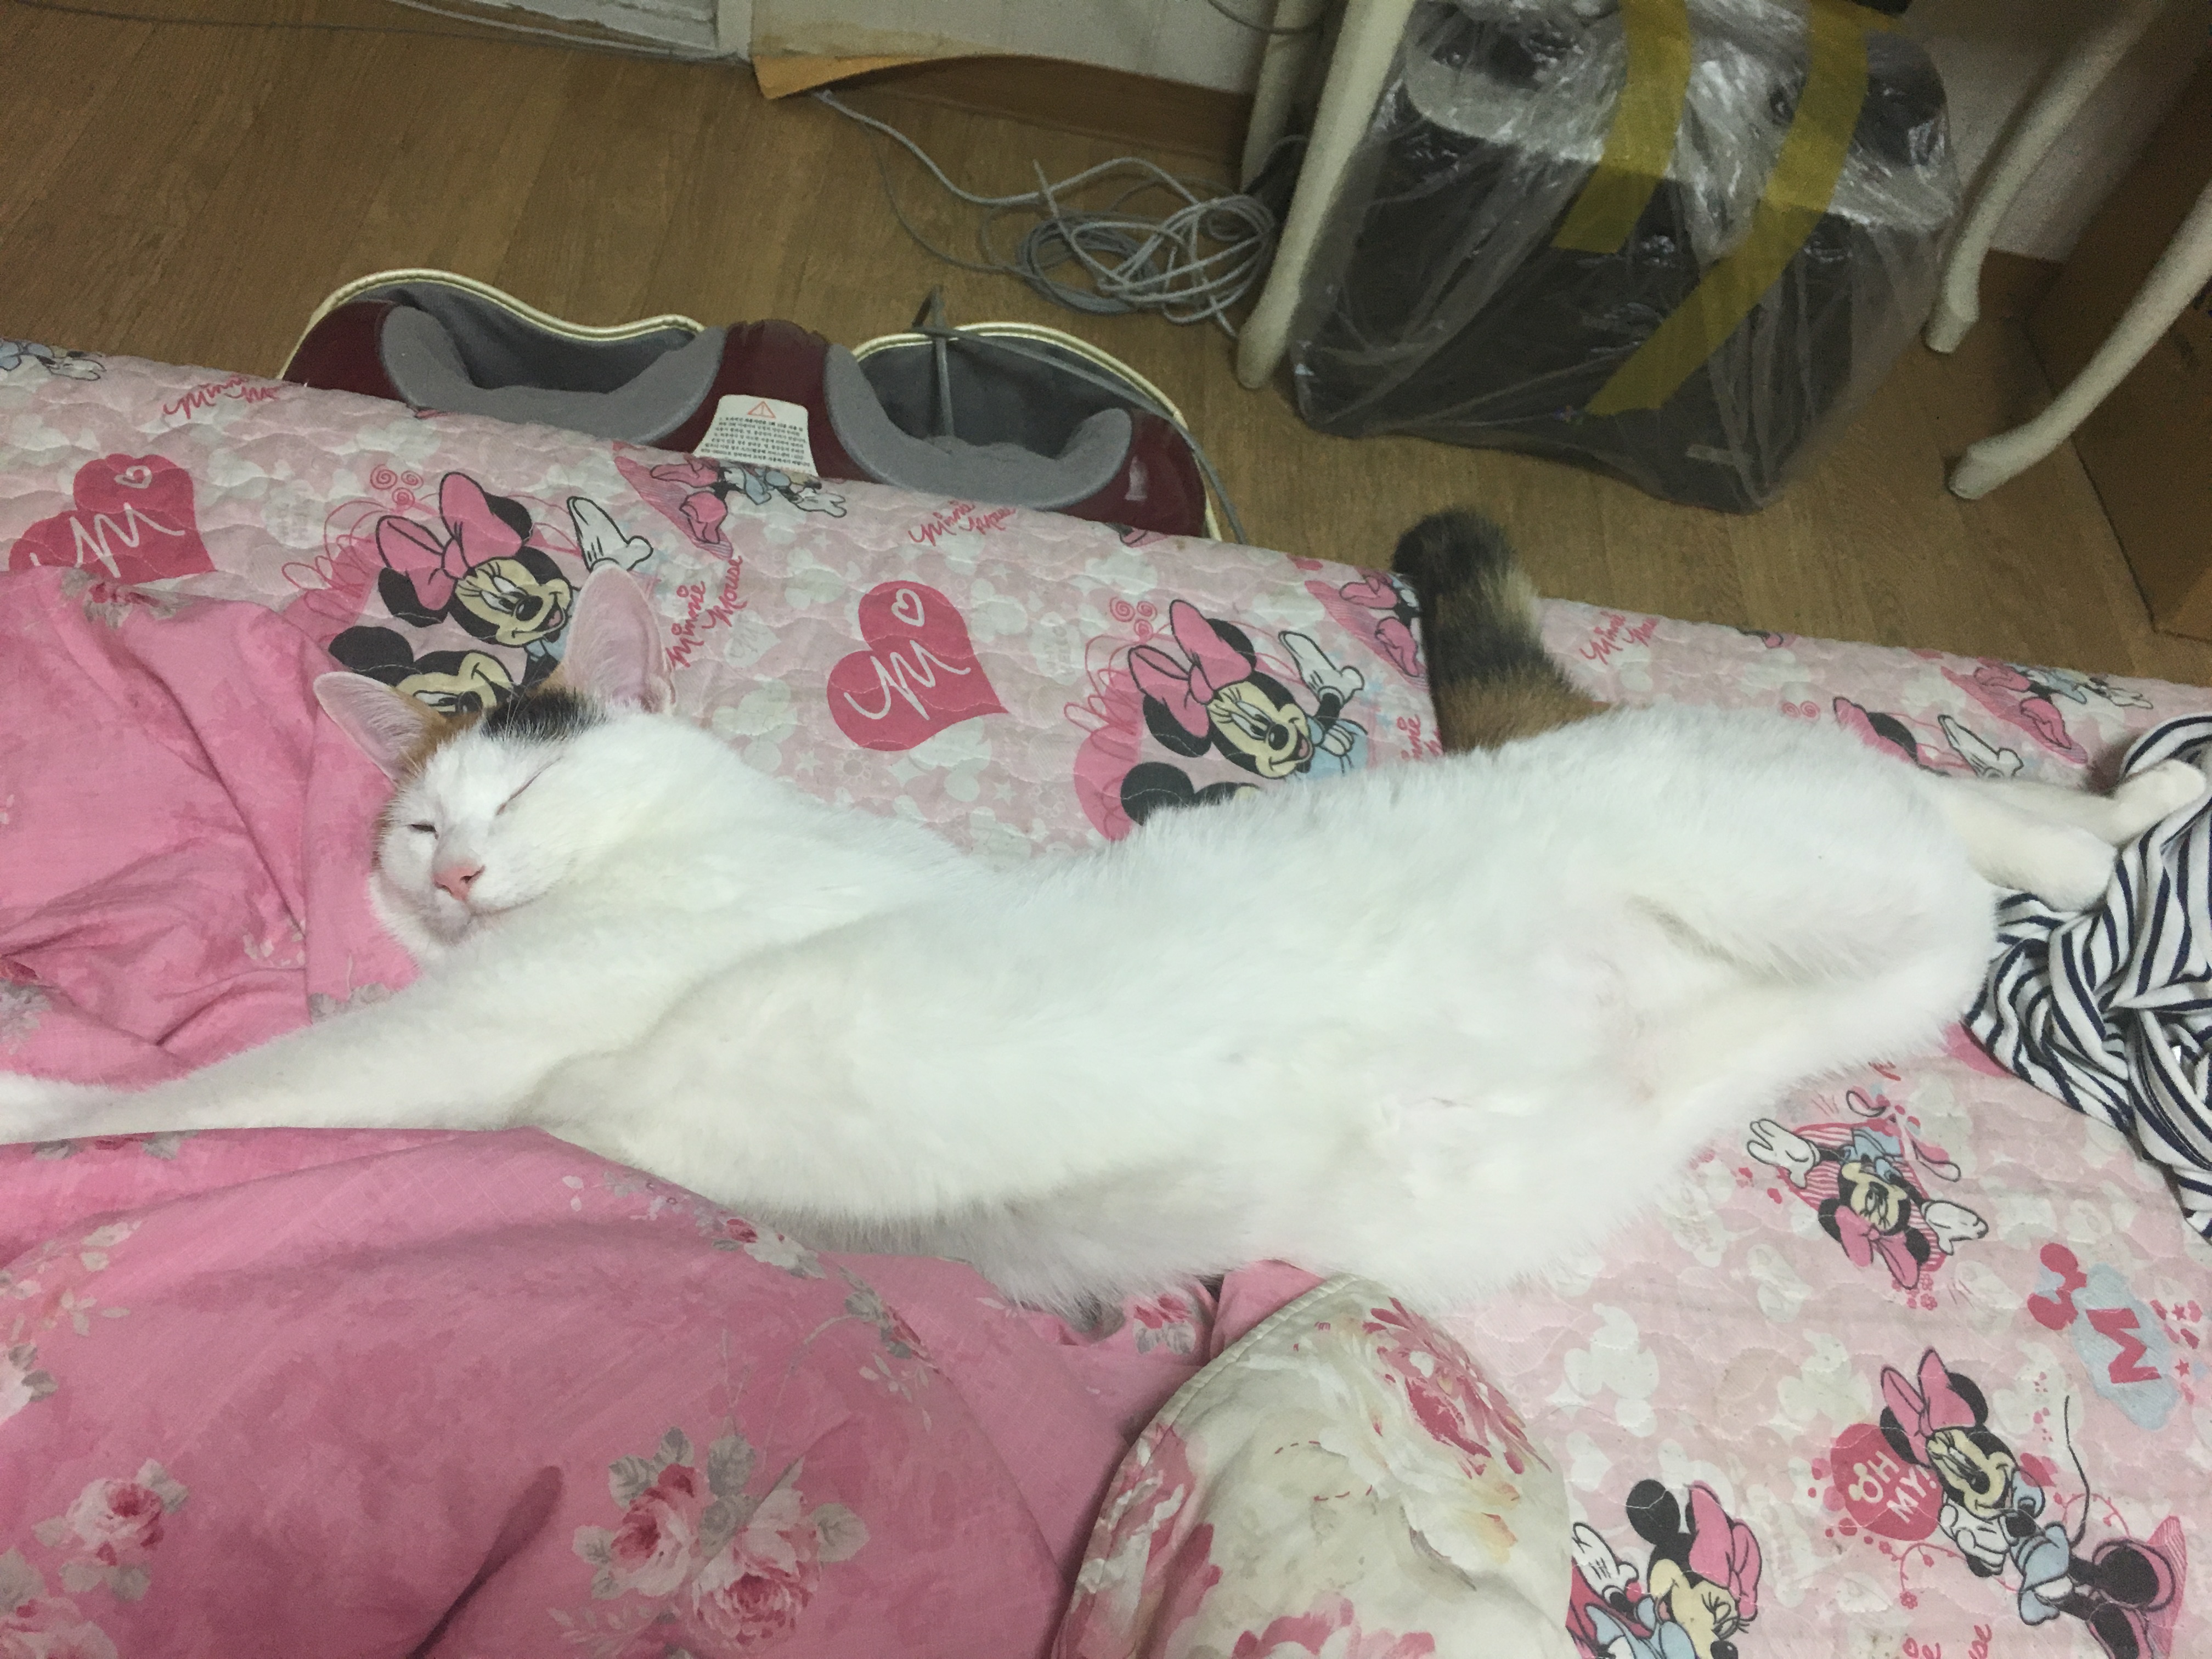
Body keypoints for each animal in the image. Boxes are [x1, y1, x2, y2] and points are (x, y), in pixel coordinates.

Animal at [1, 533, 2201, 1313]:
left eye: (516, 798)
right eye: (423, 823)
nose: (453, 873)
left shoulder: (501, 1020)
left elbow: (258, 1074)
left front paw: (41, 1088)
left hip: (1764, 837)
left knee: (1953, 808)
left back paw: (2141, 793)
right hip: (1838, 969)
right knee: (1983, 881)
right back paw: (2133, 814)